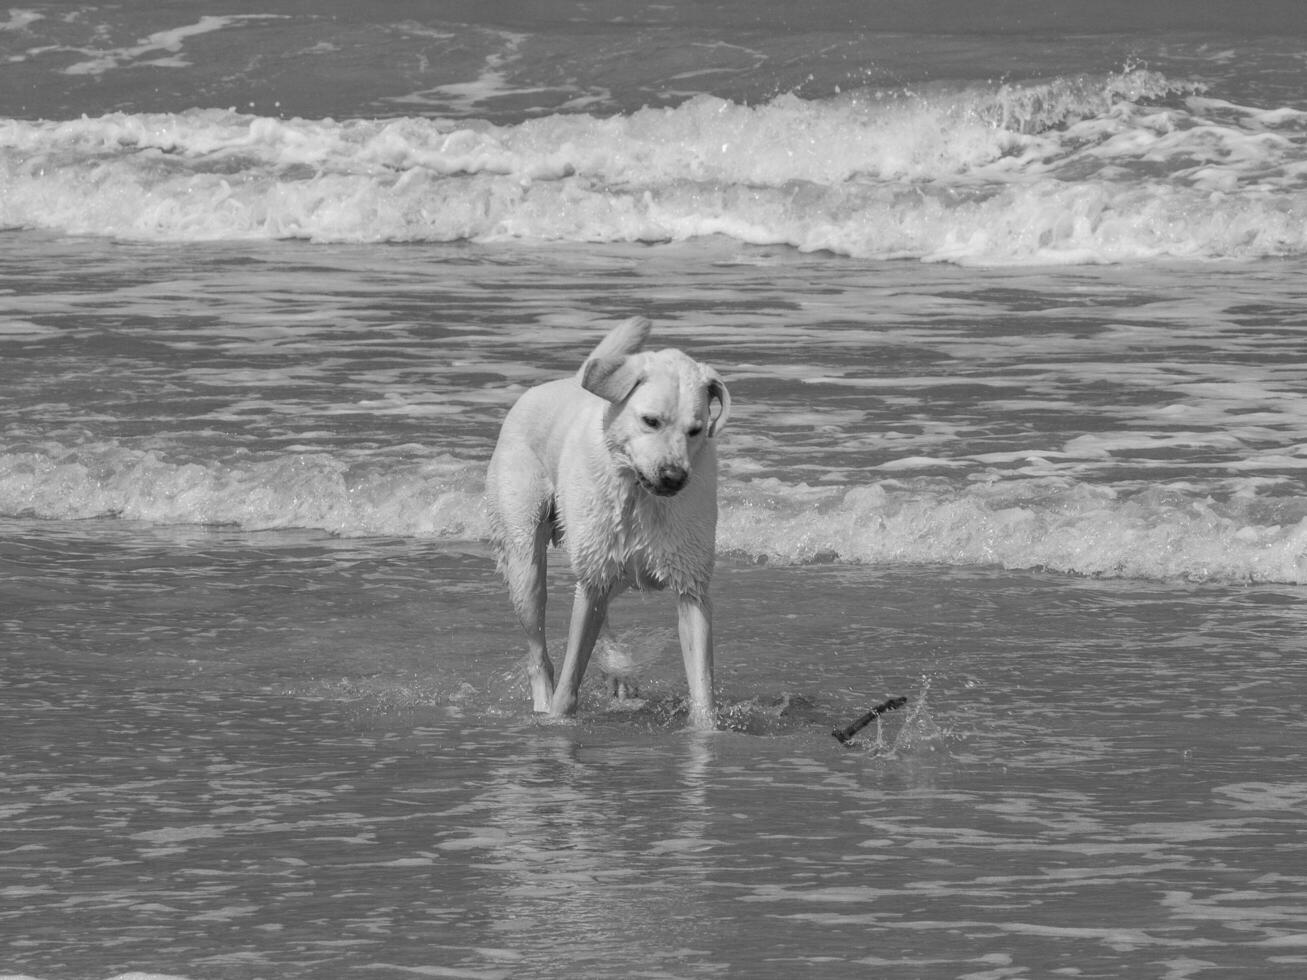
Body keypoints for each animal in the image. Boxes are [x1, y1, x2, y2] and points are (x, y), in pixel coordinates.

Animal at [486, 316, 731, 731]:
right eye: (651, 421)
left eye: (696, 429)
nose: (673, 478)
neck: (639, 494)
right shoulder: (594, 575)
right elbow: (571, 674)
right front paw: (559, 720)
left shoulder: (691, 585)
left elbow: (701, 683)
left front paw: (705, 730)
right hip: (527, 563)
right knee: (541, 653)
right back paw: (545, 703)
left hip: (612, 565)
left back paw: (617, 671)